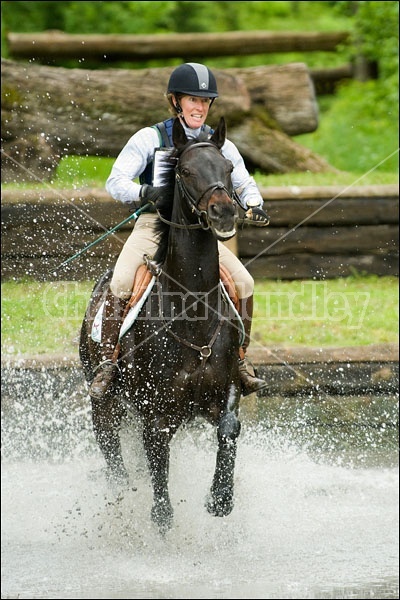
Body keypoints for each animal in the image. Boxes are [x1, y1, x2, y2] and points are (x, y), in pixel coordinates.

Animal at [77, 117, 241, 536]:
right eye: (185, 171)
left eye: (229, 168)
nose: (223, 213)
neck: (193, 320)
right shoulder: (156, 414)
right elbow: (161, 495)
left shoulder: (223, 392)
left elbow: (229, 428)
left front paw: (220, 499)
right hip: (104, 405)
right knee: (114, 461)